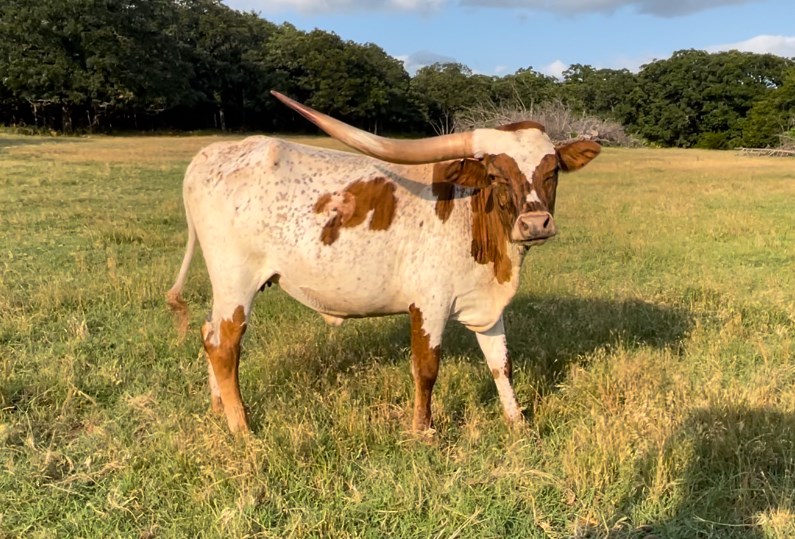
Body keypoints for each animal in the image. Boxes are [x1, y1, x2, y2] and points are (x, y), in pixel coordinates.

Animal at [167, 90, 600, 435]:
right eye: (495, 174)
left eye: (553, 170)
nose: (535, 223)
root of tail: (210, 153)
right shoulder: (428, 303)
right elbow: (427, 368)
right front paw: (423, 431)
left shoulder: (487, 304)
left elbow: (501, 364)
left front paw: (518, 422)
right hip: (236, 280)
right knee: (224, 346)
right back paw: (242, 429)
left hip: (225, 286)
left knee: (209, 334)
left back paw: (219, 409)